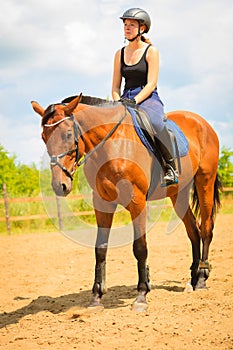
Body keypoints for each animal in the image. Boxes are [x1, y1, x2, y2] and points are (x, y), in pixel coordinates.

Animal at [31, 93, 220, 312]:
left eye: (68, 135)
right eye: (44, 137)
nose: (59, 185)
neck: (112, 145)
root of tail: (202, 122)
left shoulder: (137, 201)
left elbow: (140, 247)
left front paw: (141, 296)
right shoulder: (102, 203)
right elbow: (100, 248)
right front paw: (96, 297)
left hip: (205, 181)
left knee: (205, 228)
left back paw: (202, 279)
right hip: (178, 195)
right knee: (193, 231)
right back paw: (193, 279)